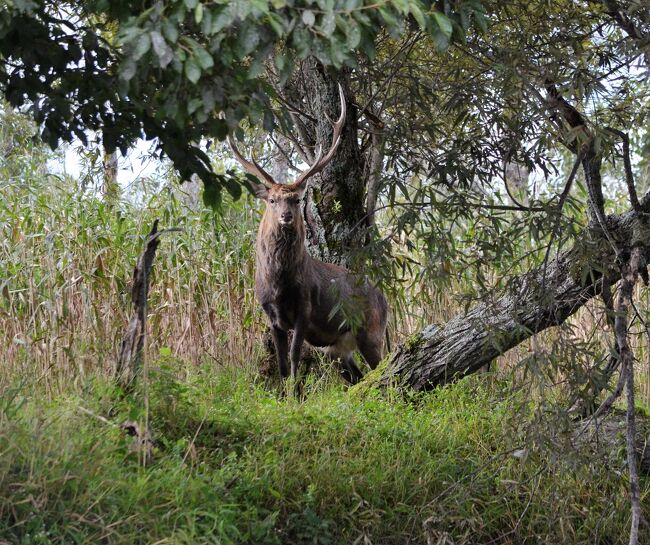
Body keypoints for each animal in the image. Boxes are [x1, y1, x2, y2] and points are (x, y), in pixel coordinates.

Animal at [228, 84, 388, 382]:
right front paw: (283, 392)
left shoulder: (305, 308)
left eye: (297, 199)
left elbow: (294, 357)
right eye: (272, 200)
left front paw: (295, 392)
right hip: (339, 348)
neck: (279, 283)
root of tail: (385, 299)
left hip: (372, 331)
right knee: (358, 376)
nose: (286, 217)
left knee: (385, 368)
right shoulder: (271, 316)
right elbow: (281, 363)